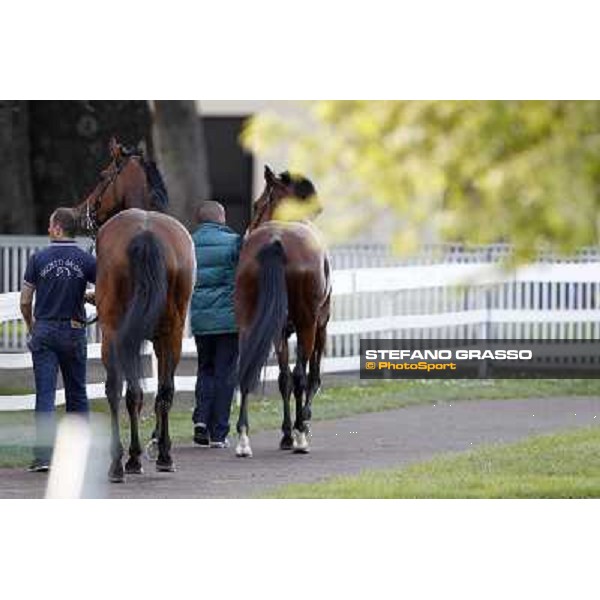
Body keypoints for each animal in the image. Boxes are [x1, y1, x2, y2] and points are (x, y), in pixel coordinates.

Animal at [72, 137, 195, 482]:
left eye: (103, 175)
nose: (85, 212)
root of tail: (145, 232)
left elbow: (131, 393)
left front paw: (136, 456)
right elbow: (153, 393)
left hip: (115, 333)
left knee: (116, 391)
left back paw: (121, 462)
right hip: (171, 334)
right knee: (163, 391)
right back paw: (161, 456)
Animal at [234, 164, 330, 454]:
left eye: (257, 204)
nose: (246, 232)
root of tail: (276, 240)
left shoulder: (279, 332)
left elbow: (283, 379)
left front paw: (286, 433)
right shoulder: (321, 324)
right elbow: (310, 376)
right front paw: (301, 424)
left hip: (249, 322)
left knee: (249, 370)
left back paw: (243, 439)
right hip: (308, 324)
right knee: (302, 375)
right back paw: (300, 436)